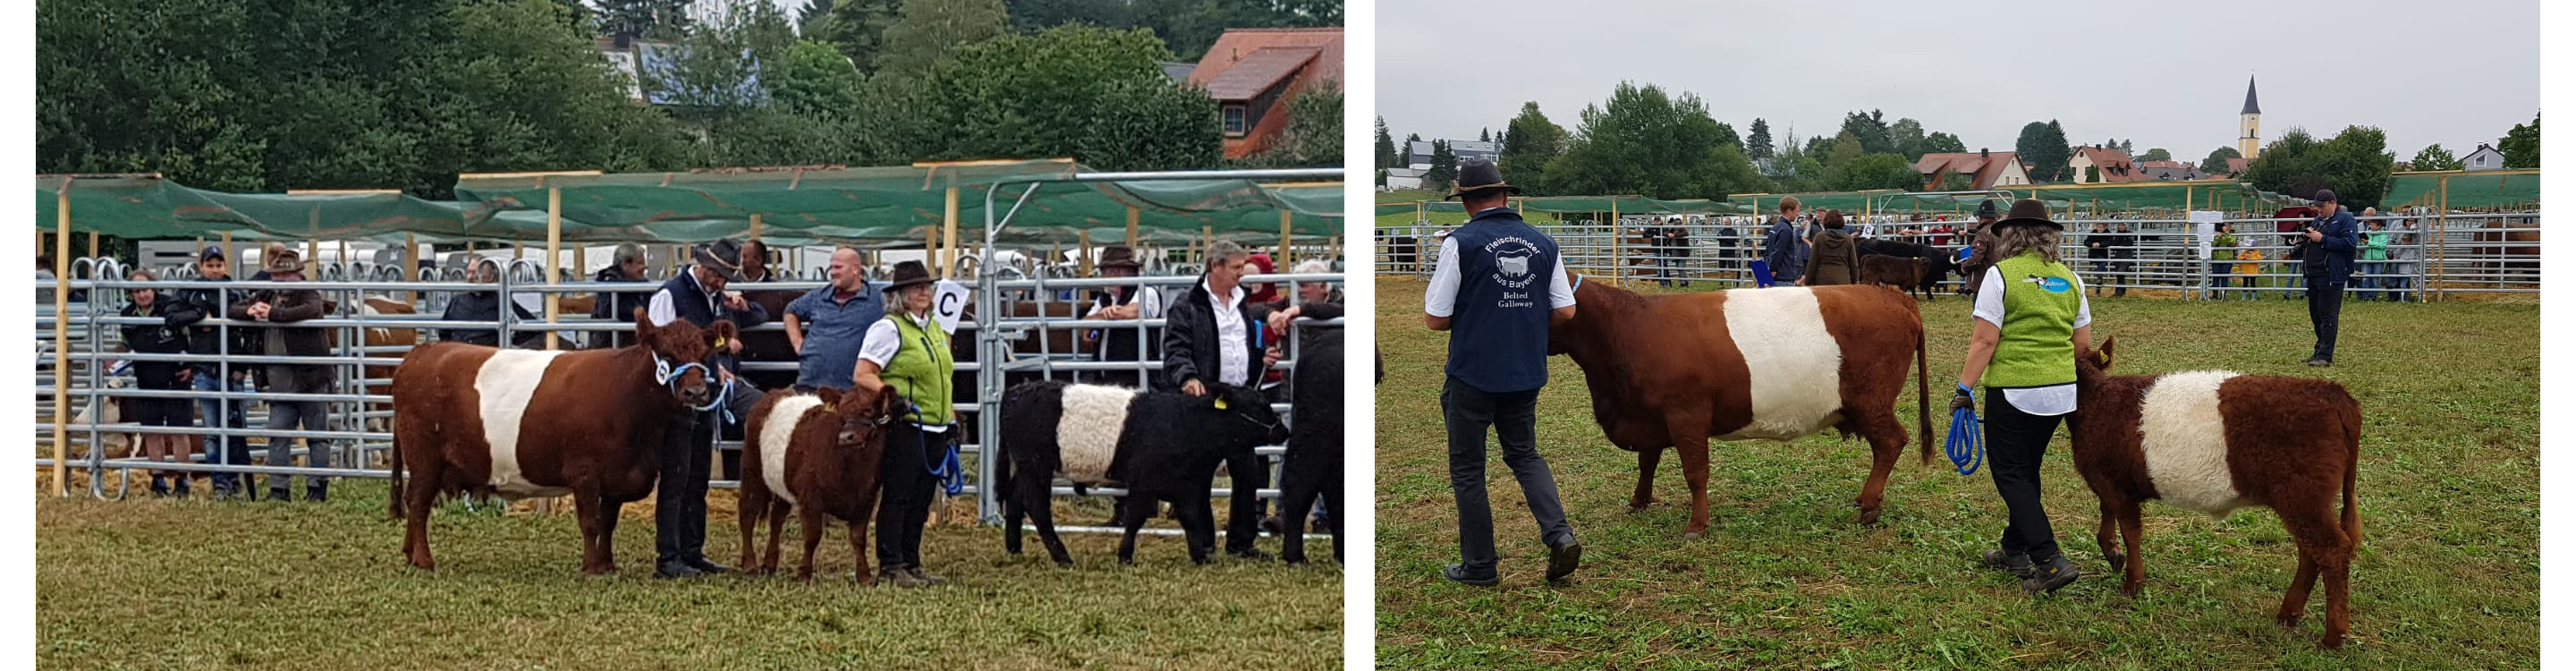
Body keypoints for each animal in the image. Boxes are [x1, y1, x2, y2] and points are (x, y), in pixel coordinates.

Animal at [388, 310, 736, 575]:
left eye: (703, 355)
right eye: (667, 355)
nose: (695, 393)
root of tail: (419, 354)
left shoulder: (617, 475)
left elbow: (608, 522)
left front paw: (607, 565)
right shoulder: (584, 472)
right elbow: (591, 522)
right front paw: (592, 568)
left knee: (413, 501)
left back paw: (409, 554)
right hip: (424, 458)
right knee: (417, 504)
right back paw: (424, 561)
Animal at [736, 384, 906, 582]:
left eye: (868, 410)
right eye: (841, 414)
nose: (846, 437)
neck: (853, 470)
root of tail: (777, 392)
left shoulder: (867, 499)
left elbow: (858, 539)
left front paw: (864, 577)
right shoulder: (811, 498)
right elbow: (812, 536)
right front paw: (804, 574)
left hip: (782, 484)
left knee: (777, 518)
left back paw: (769, 565)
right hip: (752, 470)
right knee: (748, 514)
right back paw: (749, 565)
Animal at [999, 379, 1288, 562]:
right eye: (1258, 404)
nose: (1284, 431)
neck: (1187, 424)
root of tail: (1017, 390)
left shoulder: (1184, 485)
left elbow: (1190, 518)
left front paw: (1201, 556)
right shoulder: (1144, 481)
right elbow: (1136, 518)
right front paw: (1125, 555)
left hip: (1024, 468)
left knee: (1014, 499)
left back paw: (1015, 549)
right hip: (1036, 466)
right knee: (1037, 507)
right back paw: (1062, 557)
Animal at [1535, 279, 1927, 537]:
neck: (1629, 328)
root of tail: (1892, 295)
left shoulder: (1686, 416)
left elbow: (1695, 473)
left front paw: (1696, 525)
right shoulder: (1649, 416)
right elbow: (1647, 462)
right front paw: (1638, 501)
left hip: (1873, 403)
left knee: (1892, 442)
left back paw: (1871, 505)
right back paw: (1864, 500)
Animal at [2061, 337, 2360, 648]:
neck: (2096, 399)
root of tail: (2333, 393)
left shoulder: (2114, 485)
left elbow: (2131, 533)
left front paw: (2133, 583)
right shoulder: (2109, 481)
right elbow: (2107, 514)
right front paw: (2113, 553)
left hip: (2302, 498)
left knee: (2331, 550)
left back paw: (2333, 635)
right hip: (2303, 502)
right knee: (2310, 552)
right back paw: (2288, 615)